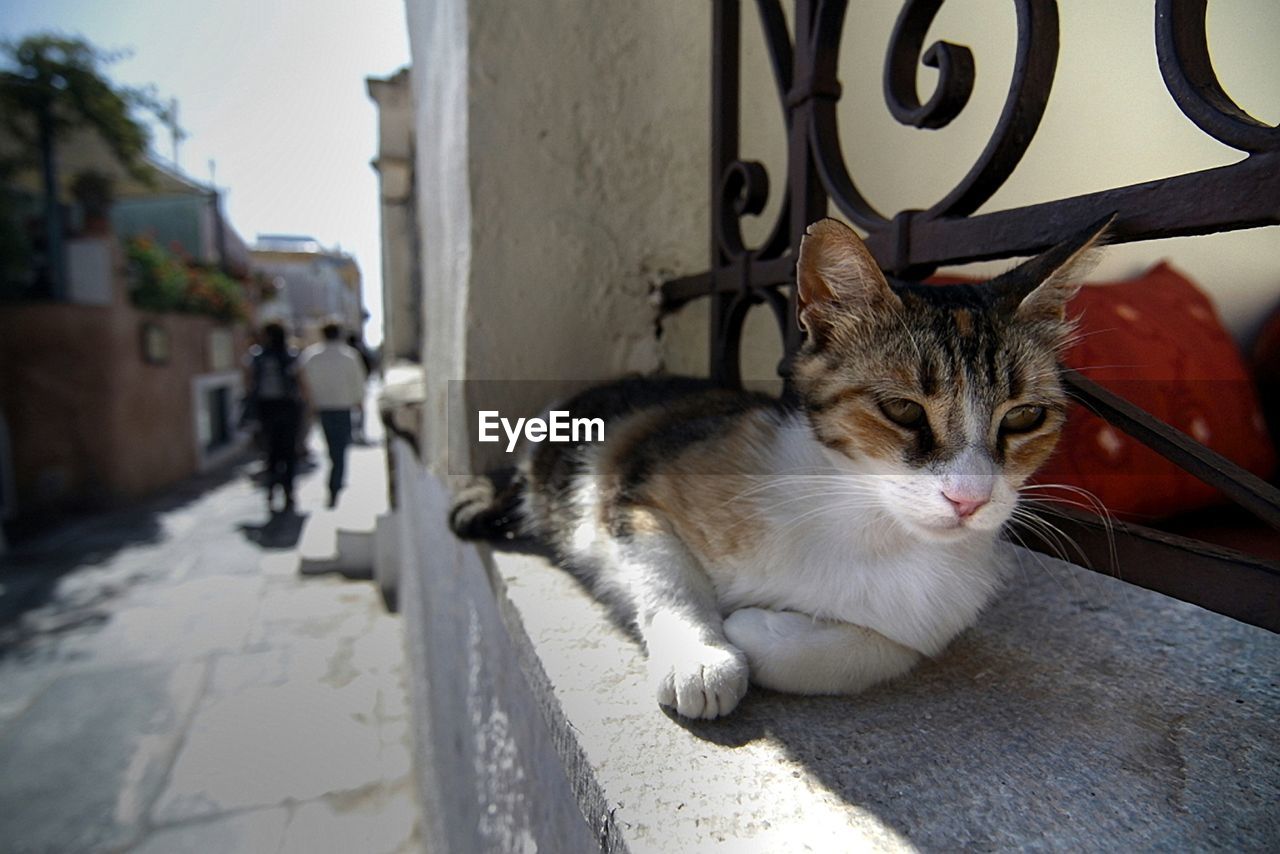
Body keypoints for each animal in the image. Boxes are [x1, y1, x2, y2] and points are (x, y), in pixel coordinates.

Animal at [450, 215, 1111, 722]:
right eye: (901, 409)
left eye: (1024, 416)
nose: (969, 499)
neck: (866, 525)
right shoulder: (635, 484)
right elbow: (668, 577)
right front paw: (701, 656)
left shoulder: (932, 616)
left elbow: (876, 650)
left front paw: (753, 631)